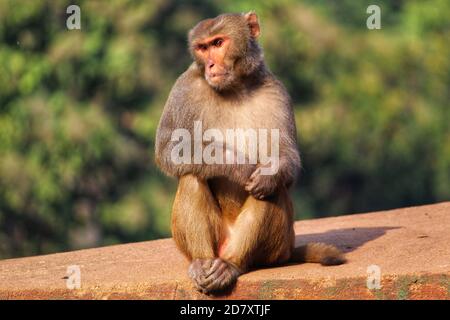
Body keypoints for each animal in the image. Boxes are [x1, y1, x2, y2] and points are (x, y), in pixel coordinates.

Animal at [155, 11, 344, 294]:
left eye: (218, 43)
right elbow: (170, 149)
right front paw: (239, 167)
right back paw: (202, 262)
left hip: (277, 247)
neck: (235, 87)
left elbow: (285, 157)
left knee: (269, 191)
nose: (210, 66)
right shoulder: (184, 88)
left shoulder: (277, 92)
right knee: (191, 177)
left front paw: (268, 174)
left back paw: (232, 264)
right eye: (202, 48)